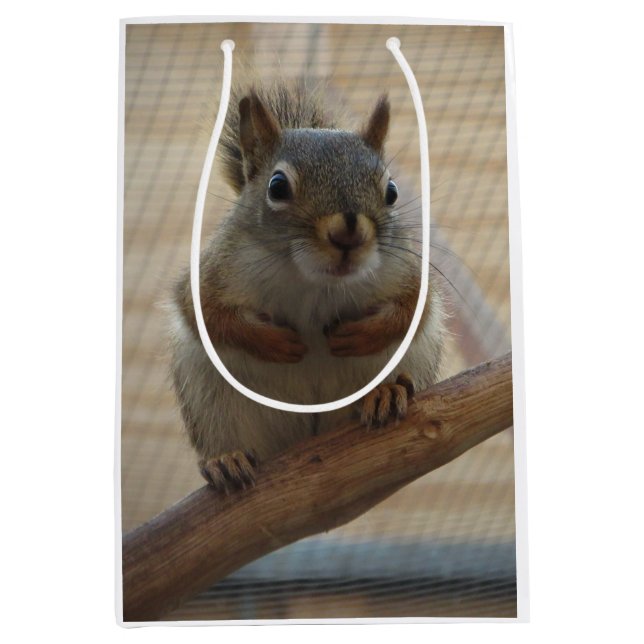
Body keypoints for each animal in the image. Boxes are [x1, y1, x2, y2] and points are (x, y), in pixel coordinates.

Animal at [169, 81, 446, 491]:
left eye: (392, 191)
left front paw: (361, 336)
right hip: (209, 396)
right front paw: (274, 342)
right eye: (278, 186)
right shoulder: (215, 272)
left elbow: (414, 308)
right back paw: (226, 459)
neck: (316, 280)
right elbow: (206, 313)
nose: (348, 232)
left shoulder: (404, 270)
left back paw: (386, 392)